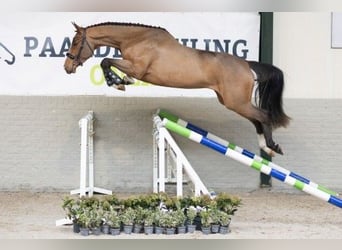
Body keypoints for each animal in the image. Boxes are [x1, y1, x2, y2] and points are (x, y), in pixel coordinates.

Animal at [63, 23, 288, 156]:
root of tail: (247, 65)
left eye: (76, 42)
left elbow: (106, 61)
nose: (67, 67)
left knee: (263, 115)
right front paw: (121, 81)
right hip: (230, 101)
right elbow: (109, 63)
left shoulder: (137, 68)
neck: (137, 39)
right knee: (256, 120)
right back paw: (265, 147)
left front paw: (116, 81)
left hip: (236, 102)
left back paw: (272, 146)